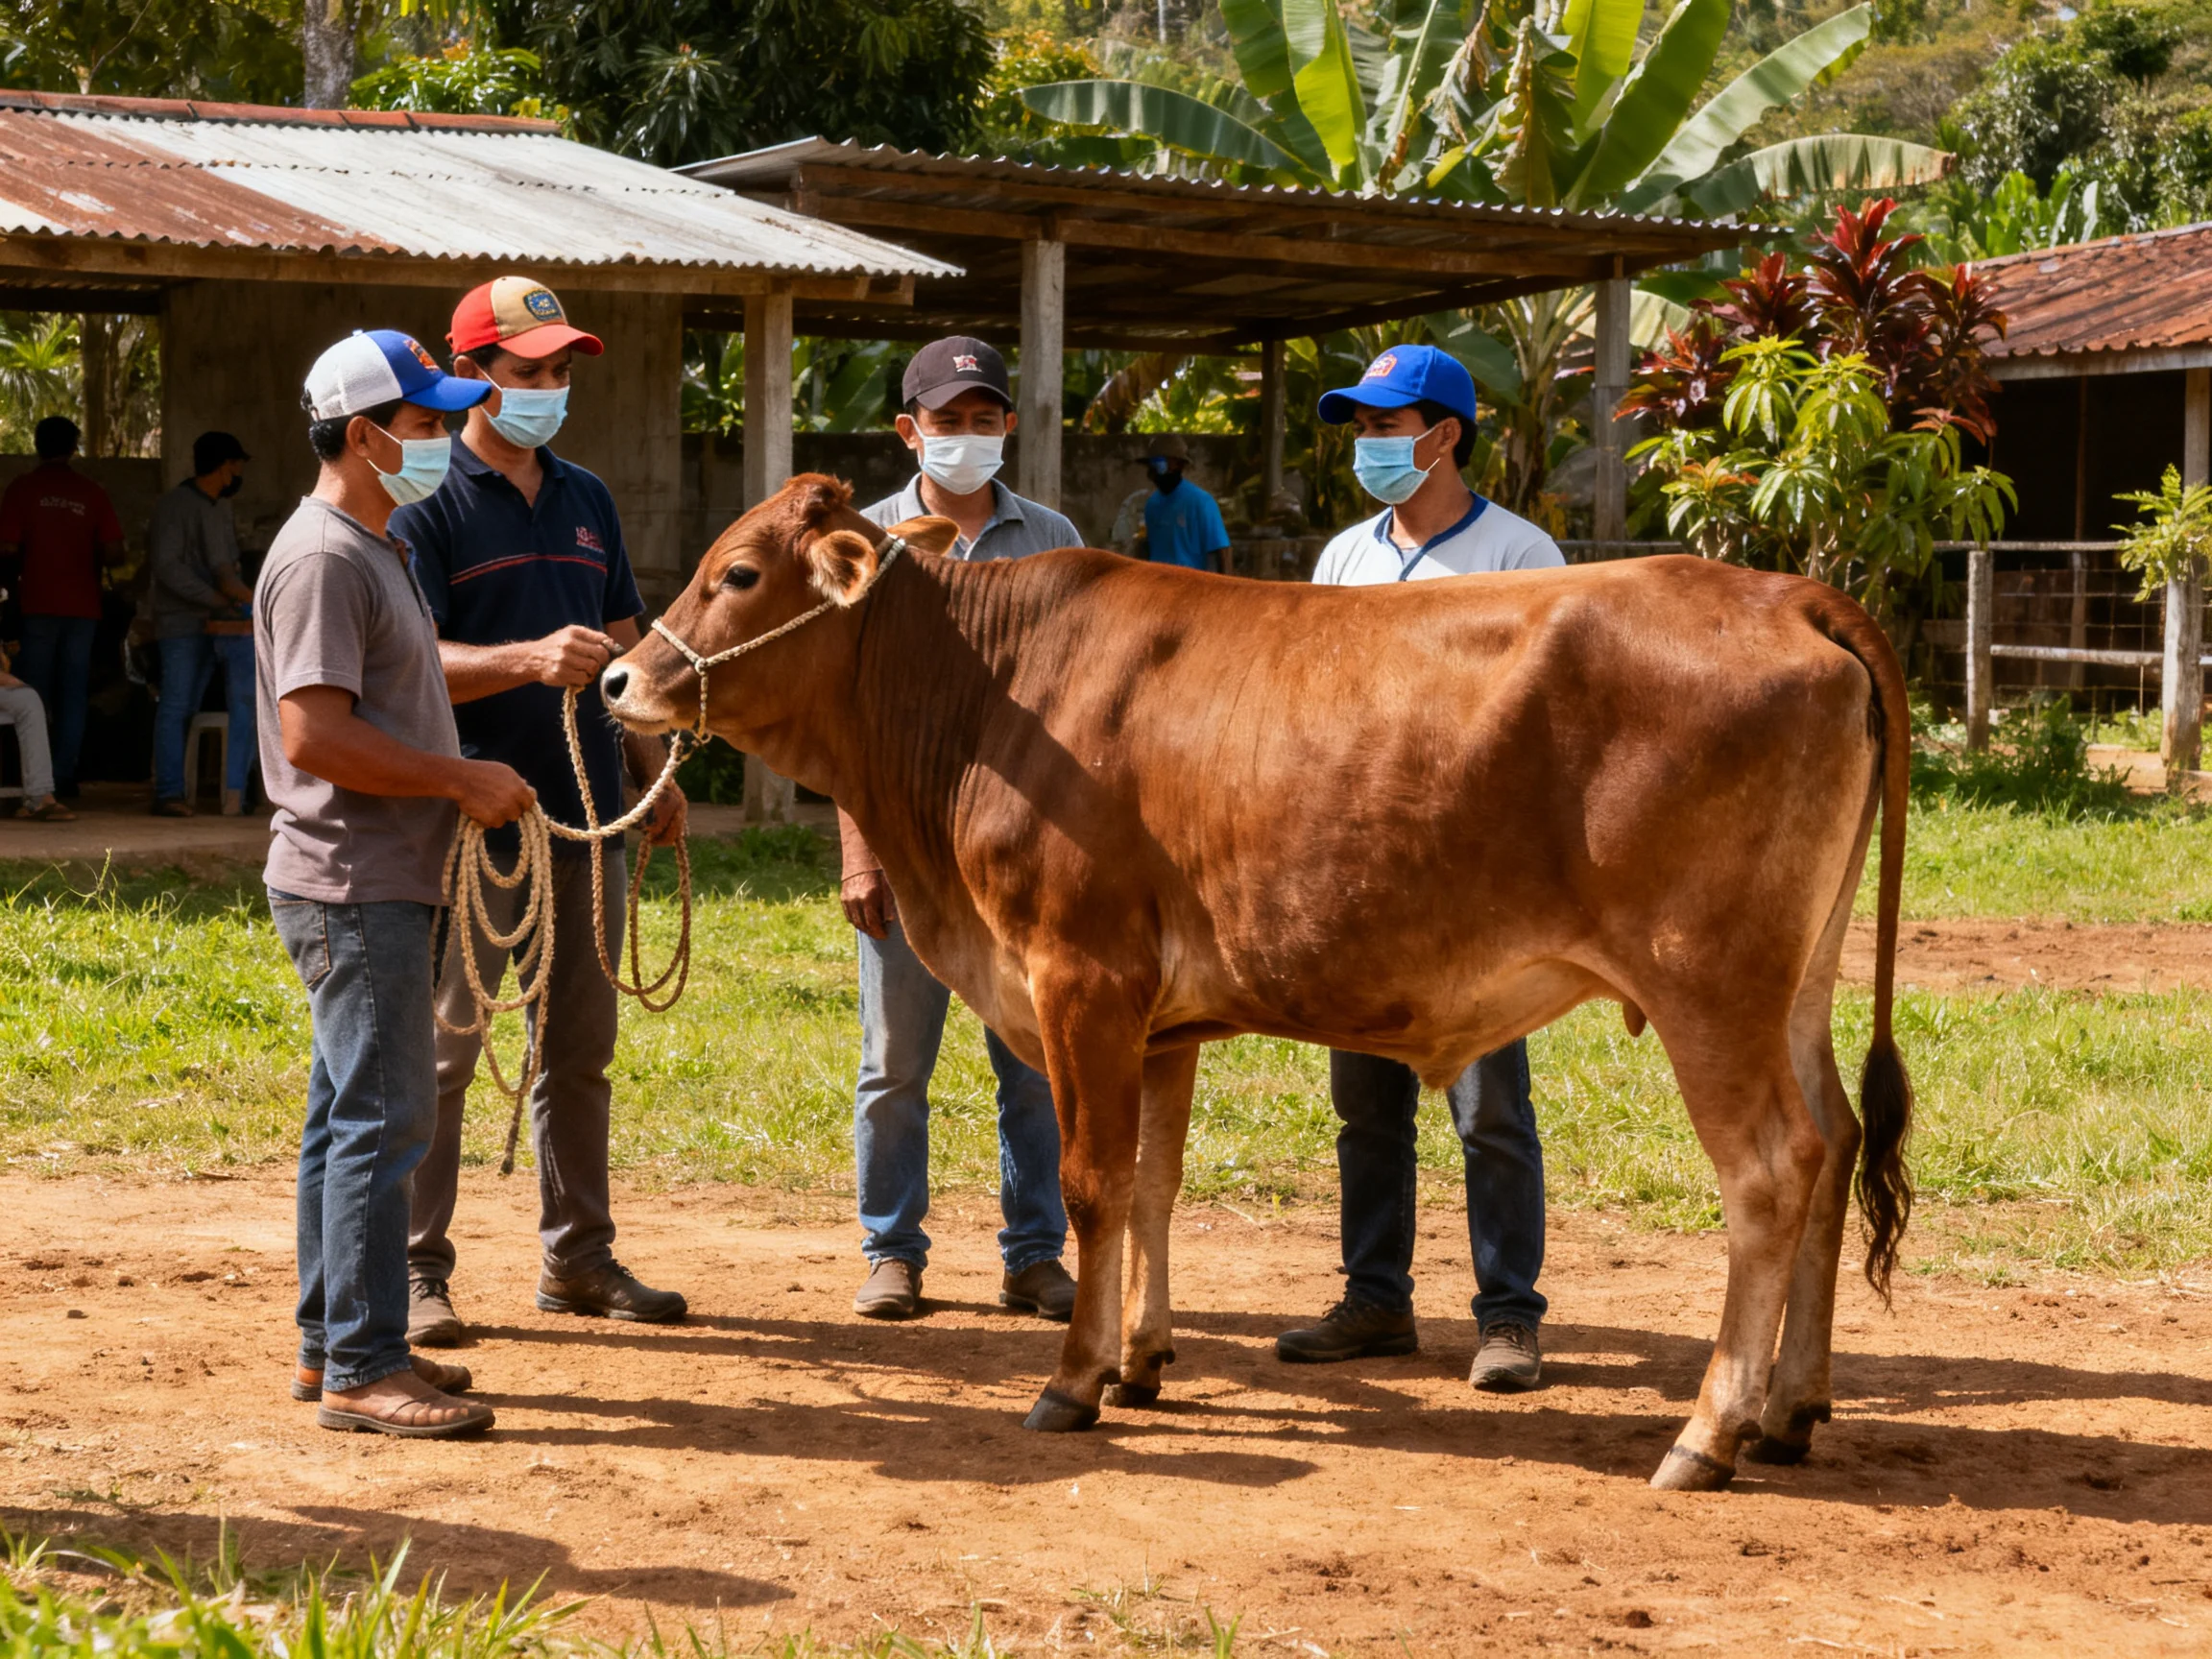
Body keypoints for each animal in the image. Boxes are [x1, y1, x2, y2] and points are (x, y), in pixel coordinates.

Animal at [600, 475, 1914, 1492]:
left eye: (739, 573)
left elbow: (1090, 1184)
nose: (616, 682)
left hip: (1710, 986)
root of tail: (1788, 591)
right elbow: (1151, 1186)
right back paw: (1791, 1411)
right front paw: (1139, 1361)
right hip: (1796, 983)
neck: (986, 697)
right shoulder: (1159, 1020)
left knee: (1773, 1169)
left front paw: (1072, 1382)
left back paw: (1709, 1434)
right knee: (1839, 1138)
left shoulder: (1080, 977)